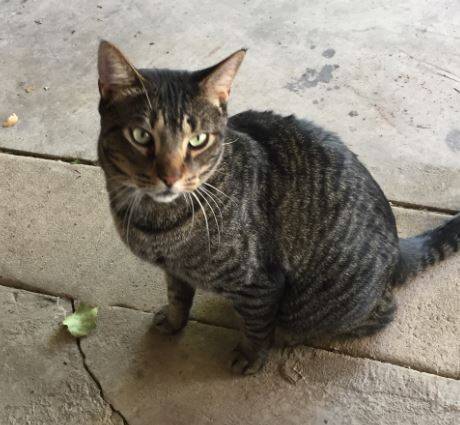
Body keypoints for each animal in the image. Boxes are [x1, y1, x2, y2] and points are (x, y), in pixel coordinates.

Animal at [97, 40, 460, 374]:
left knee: (377, 314)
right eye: (141, 135)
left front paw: (250, 357)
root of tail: (398, 249)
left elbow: (257, 327)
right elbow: (177, 297)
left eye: (198, 140)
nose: (170, 177)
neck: (154, 222)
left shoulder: (261, 283)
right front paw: (173, 322)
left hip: (324, 306)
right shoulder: (175, 271)